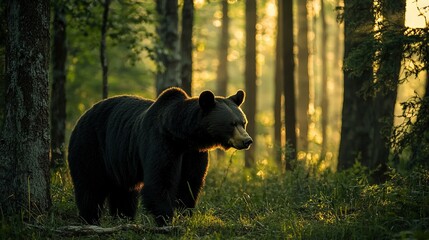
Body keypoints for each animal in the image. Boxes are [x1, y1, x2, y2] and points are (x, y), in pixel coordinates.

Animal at [67, 87, 251, 226]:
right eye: (231, 124)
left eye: (243, 122)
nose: (247, 140)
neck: (183, 136)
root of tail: (84, 114)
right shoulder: (160, 142)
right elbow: (160, 179)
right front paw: (165, 218)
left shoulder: (193, 153)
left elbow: (190, 182)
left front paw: (185, 214)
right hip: (90, 145)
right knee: (90, 185)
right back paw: (89, 219)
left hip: (119, 161)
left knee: (124, 192)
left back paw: (123, 217)